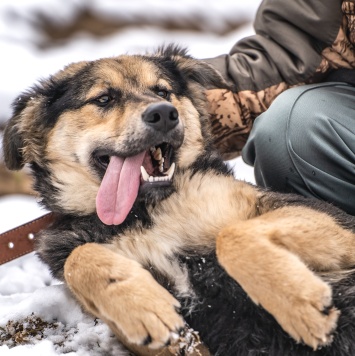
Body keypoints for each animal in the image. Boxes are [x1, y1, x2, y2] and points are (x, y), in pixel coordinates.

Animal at [3, 45, 355, 356]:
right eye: (103, 99)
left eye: (163, 91)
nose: (163, 114)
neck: (147, 212)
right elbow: (79, 259)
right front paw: (142, 306)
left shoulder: (330, 219)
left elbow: (232, 235)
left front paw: (301, 303)